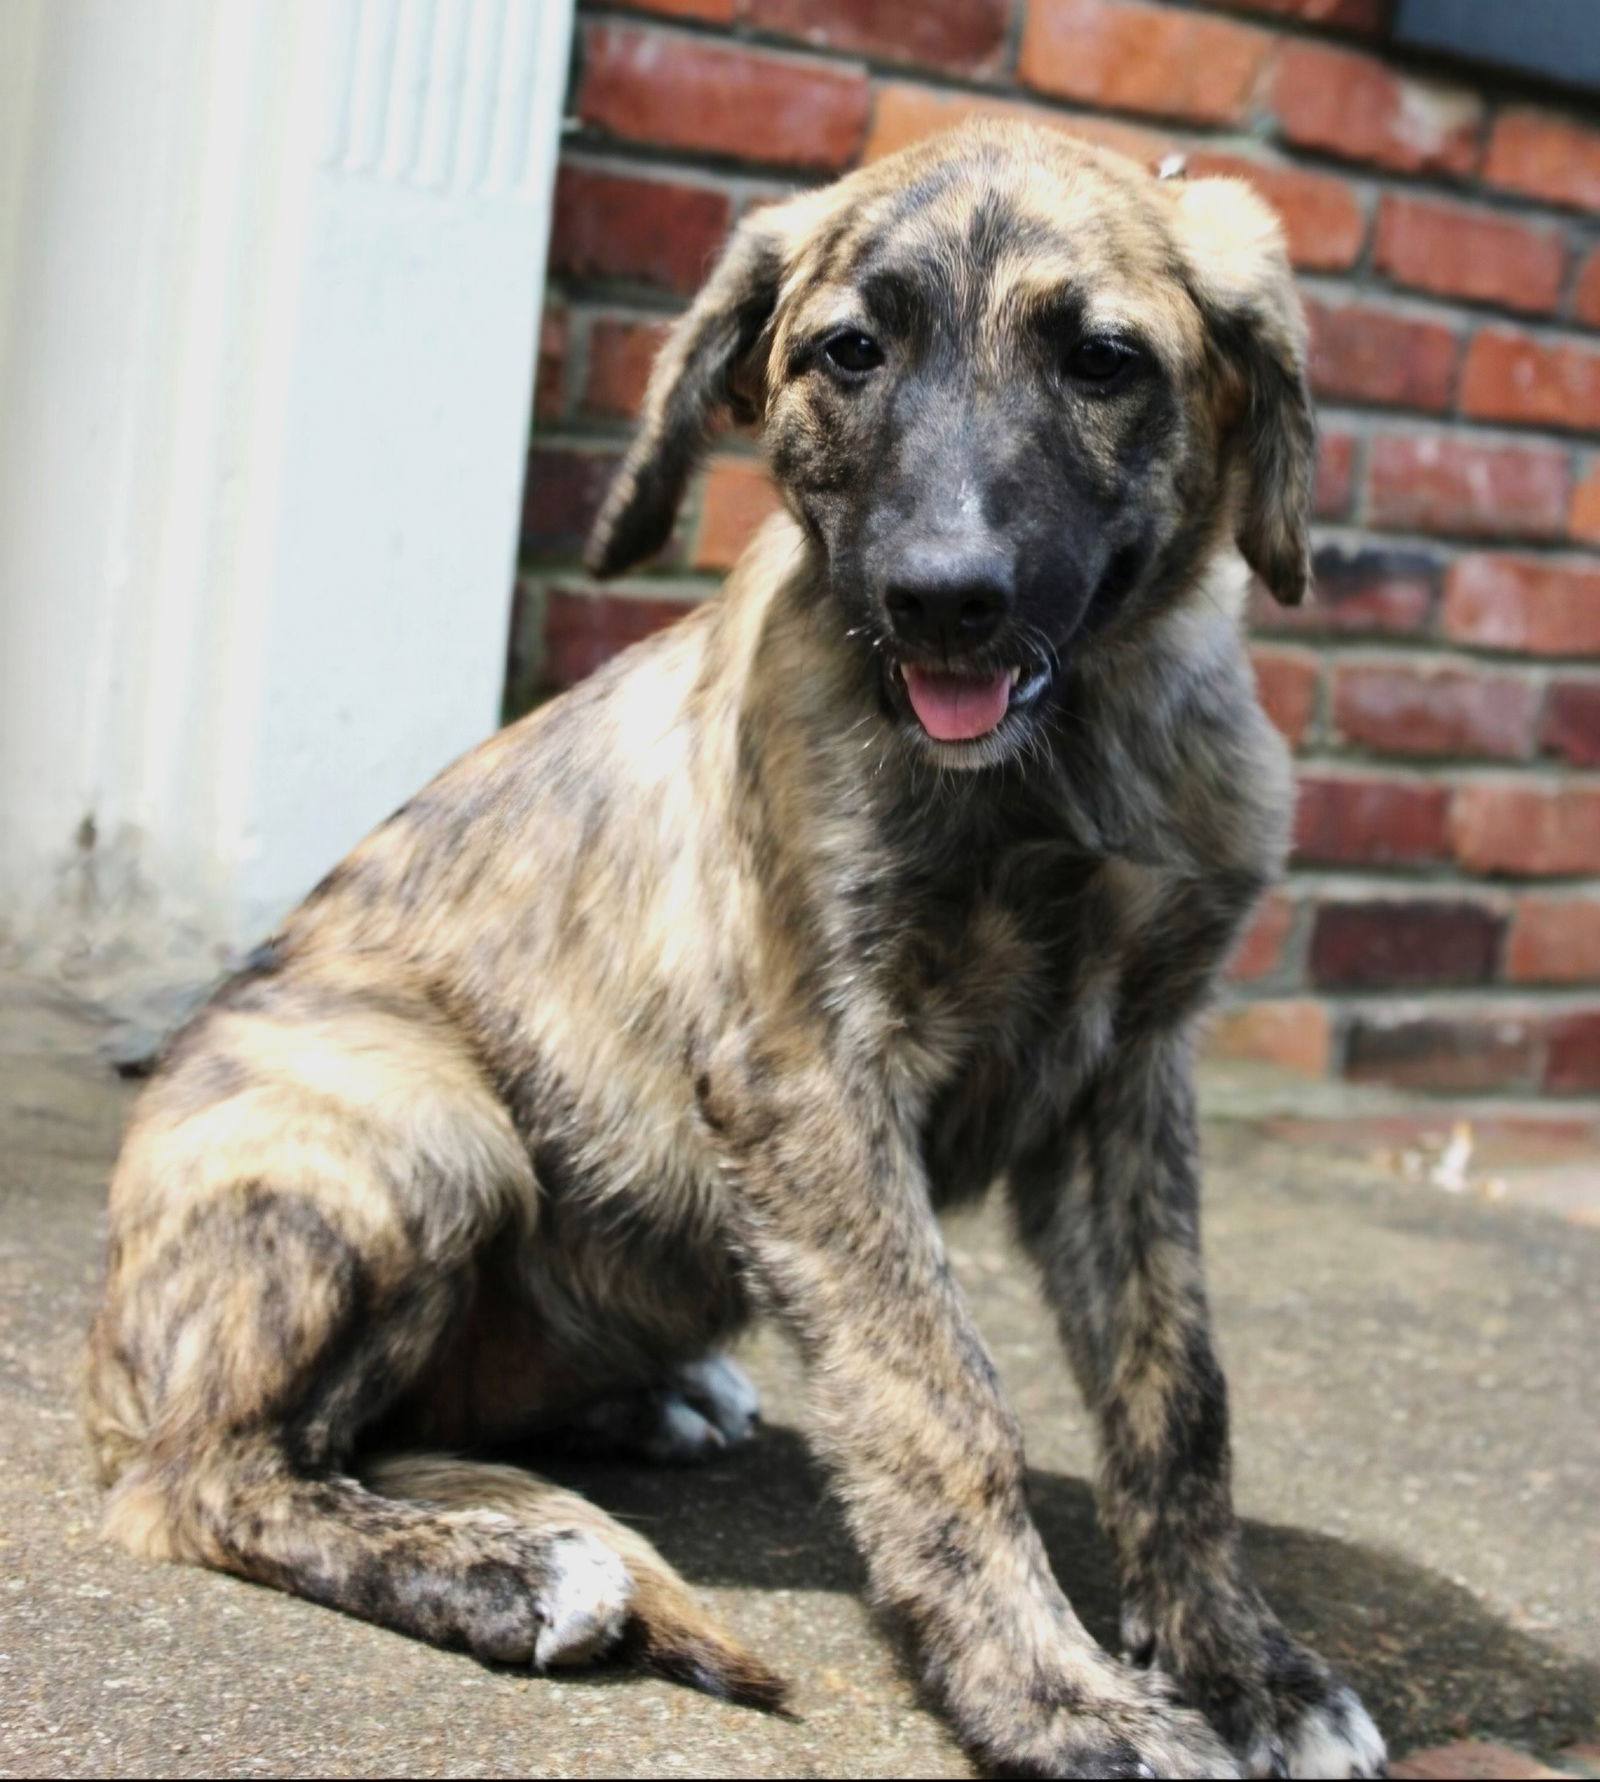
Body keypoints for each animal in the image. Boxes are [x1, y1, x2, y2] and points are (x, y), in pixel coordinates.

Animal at [87, 122, 1382, 1767]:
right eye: (850, 351)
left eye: (1103, 360)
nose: (939, 602)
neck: (1064, 754)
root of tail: (110, 1366)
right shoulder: (812, 1074)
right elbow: (940, 1400)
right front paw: (1054, 1692)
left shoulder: (1129, 1077)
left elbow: (1178, 1392)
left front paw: (1243, 1661)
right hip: (422, 1127)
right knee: (215, 1477)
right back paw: (507, 1570)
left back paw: (642, 1410)